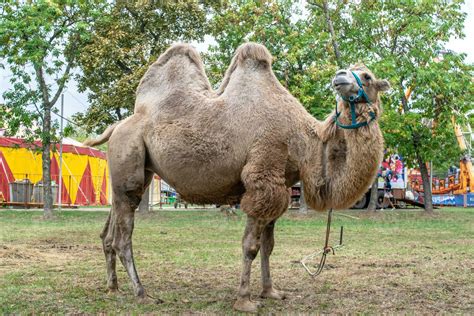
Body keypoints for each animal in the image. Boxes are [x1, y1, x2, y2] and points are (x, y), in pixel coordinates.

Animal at [84, 43, 388, 312]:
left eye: (367, 76)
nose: (340, 76)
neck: (305, 140)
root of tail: (116, 126)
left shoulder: (279, 184)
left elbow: (268, 246)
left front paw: (271, 292)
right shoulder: (263, 176)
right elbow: (251, 246)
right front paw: (244, 300)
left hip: (133, 172)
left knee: (109, 229)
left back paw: (113, 288)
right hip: (129, 159)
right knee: (124, 236)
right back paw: (142, 293)